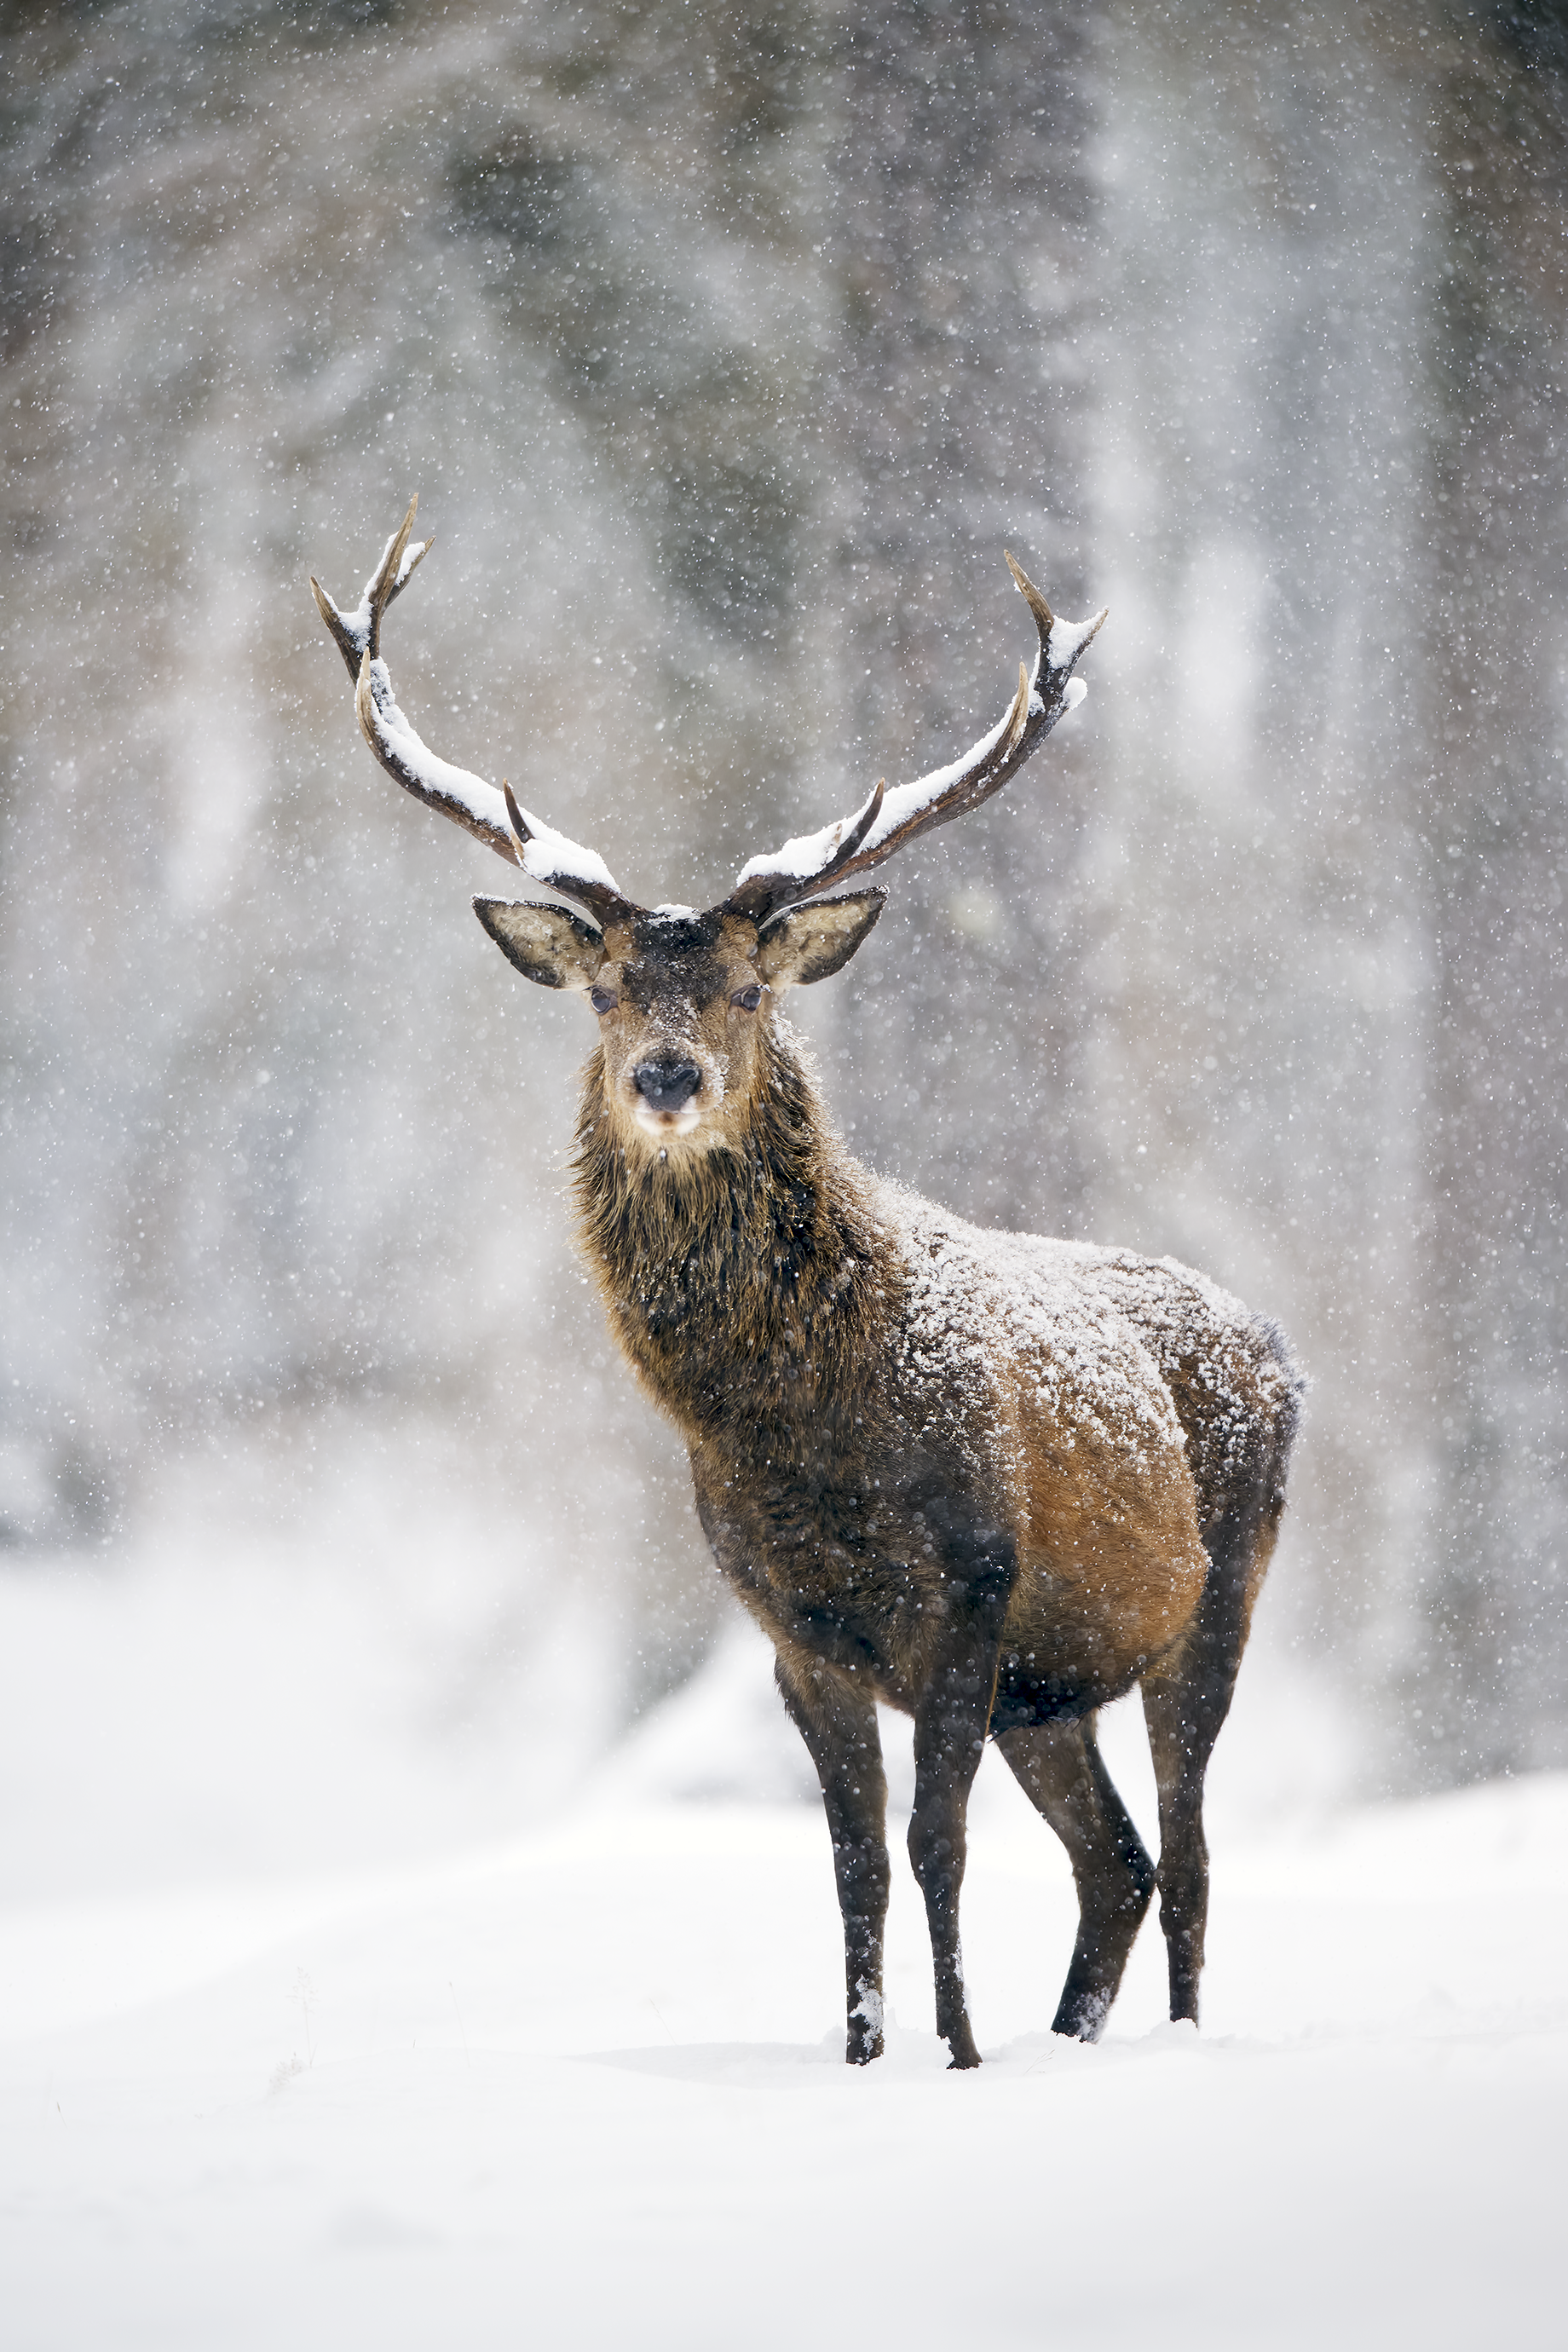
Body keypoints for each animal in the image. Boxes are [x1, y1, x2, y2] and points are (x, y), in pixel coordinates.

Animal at [311, 498, 1302, 2068]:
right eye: (605, 989)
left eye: (749, 988)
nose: (665, 1077)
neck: (796, 1435)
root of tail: (1276, 1348)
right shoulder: (792, 1630)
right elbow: (851, 1865)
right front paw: (867, 2056)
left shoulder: (970, 1591)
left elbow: (934, 1847)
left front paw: (956, 2059)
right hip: (1056, 1685)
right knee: (1122, 1863)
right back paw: (1072, 2036)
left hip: (1214, 1603)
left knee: (1192, 1856)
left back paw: (1166, 2044)